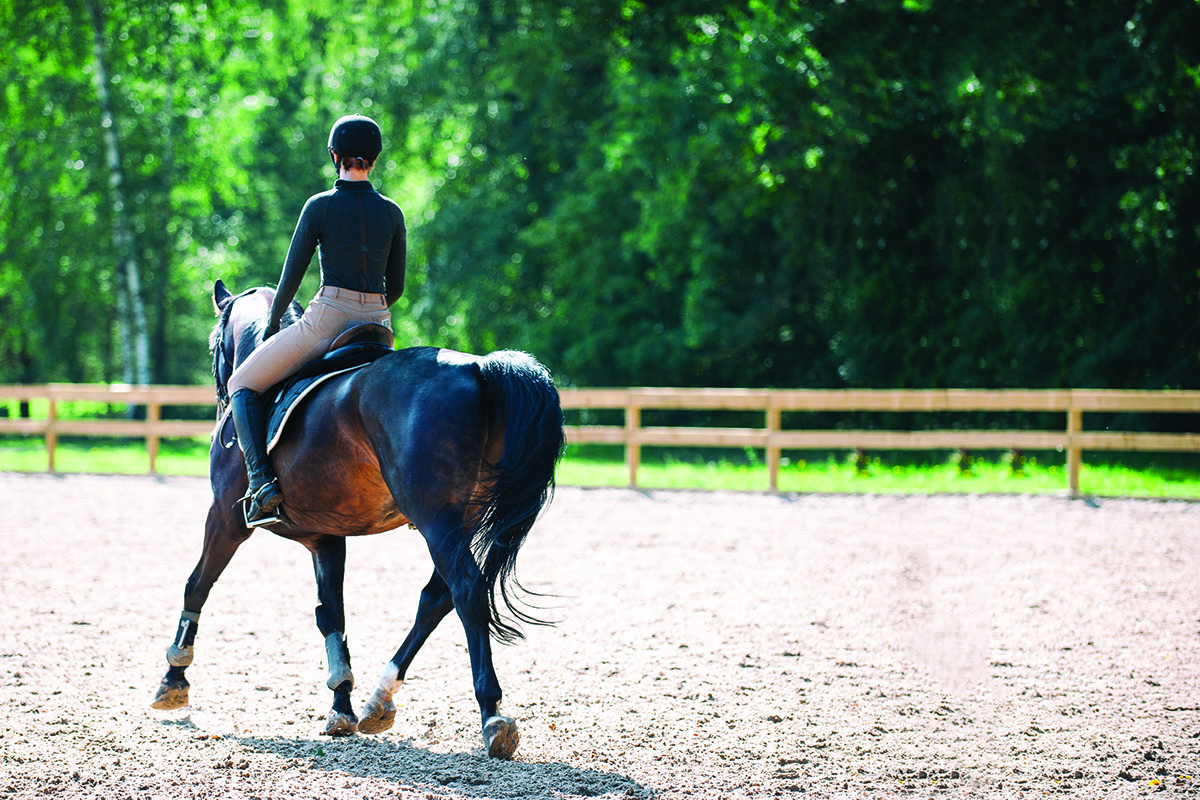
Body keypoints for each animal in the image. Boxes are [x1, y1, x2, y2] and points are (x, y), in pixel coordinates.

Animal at [150, 280, 565, 759]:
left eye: (214, 343)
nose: (219, 395)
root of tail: (478, 367)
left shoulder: (224, 518)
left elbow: (196, 586)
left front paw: (173, 679)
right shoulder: (325, 537)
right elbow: (332, 614)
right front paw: (341, 705)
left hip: (437, 520)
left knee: (466, 590)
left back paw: (492, 714)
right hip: (463, 518)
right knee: (436, 598)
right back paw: (378, 700)